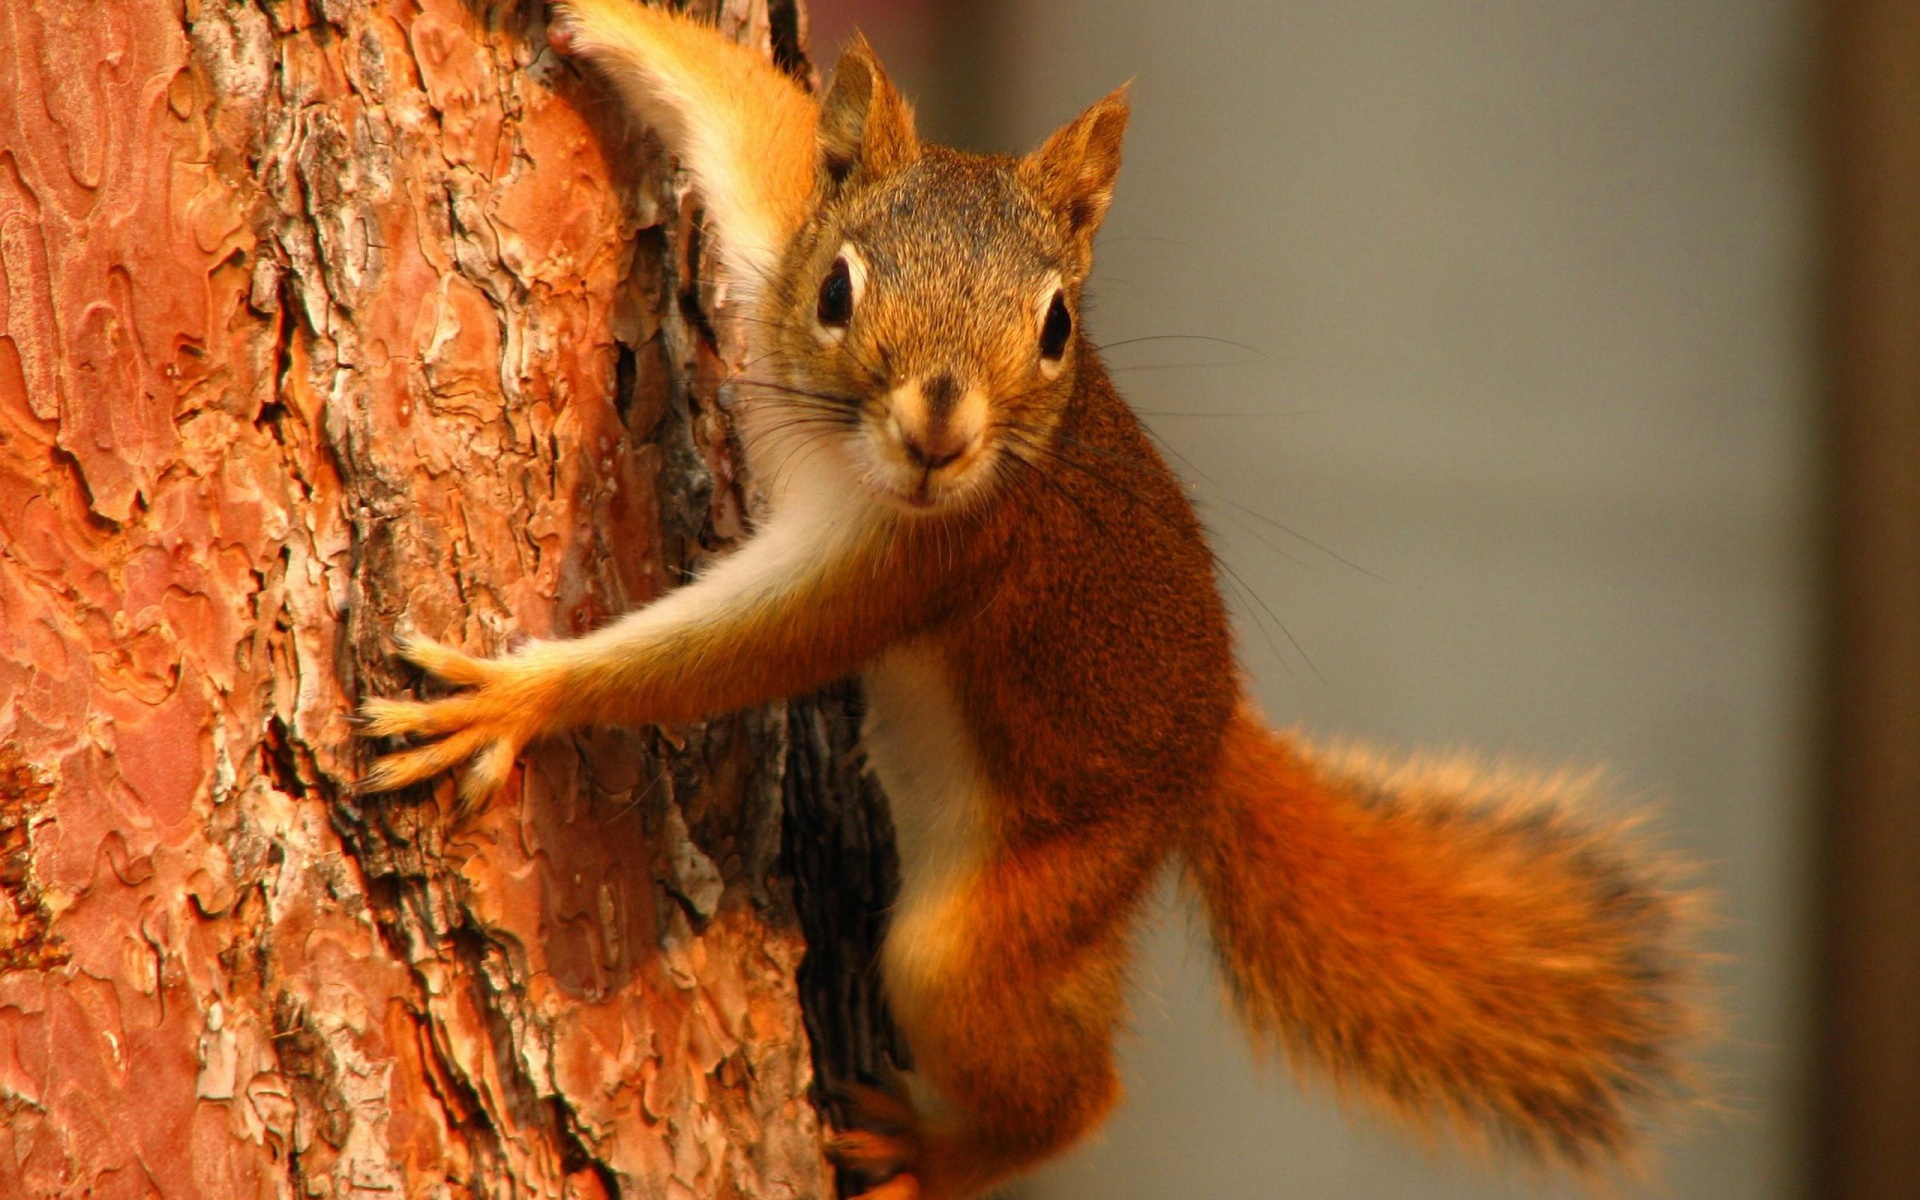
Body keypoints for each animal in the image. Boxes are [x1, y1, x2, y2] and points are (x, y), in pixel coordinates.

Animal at [360, 4, 1697, 1190]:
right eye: (837, 290)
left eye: (1057, 325)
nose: (939, 432)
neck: (847, 454)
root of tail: (1212, 744)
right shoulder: (776, 230)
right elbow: (751, 117)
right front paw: (591, 15)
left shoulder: (925, 560)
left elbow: (735, 652)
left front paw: (516, 699)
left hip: (1021, 910)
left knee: (1067, 1089)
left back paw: (934, 1155)